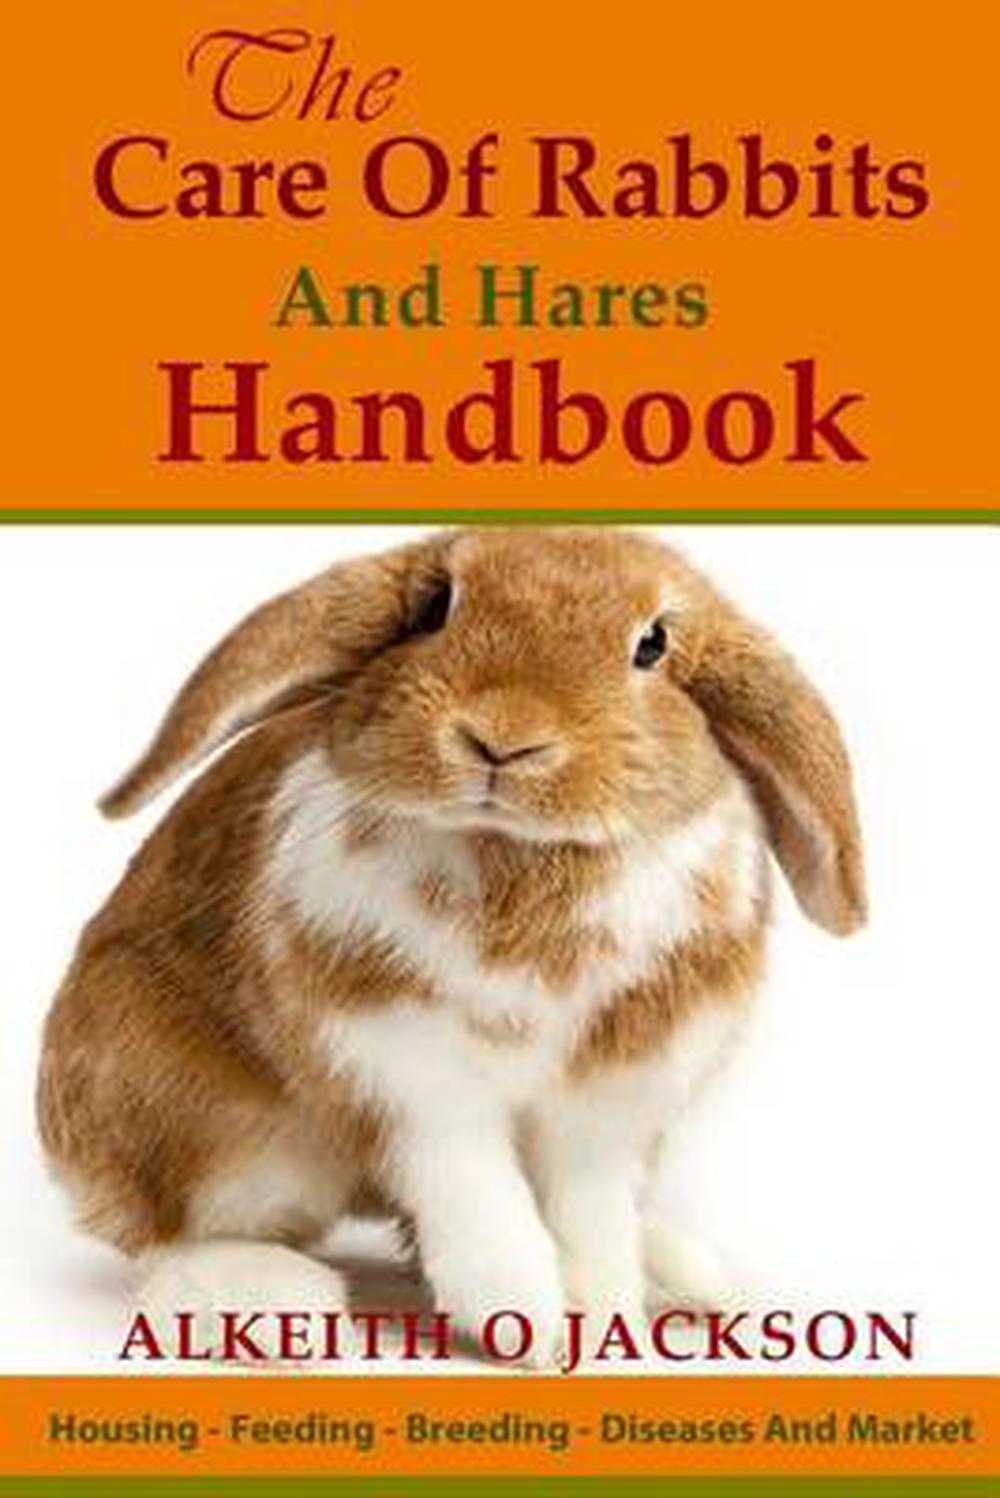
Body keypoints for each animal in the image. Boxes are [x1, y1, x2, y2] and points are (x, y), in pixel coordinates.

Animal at [37, 526, 865, 1364]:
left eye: (652, 645)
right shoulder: (415, 1081)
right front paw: (531, 1323)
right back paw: (261, 1299)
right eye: (436, 607)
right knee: (164, 1232)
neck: (519, 853)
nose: (502, 738)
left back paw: (676, 1274)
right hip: (217, 1129)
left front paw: (600, 1321)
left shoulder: (610, 1104)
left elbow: (590, 1222)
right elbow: (482, 1205)